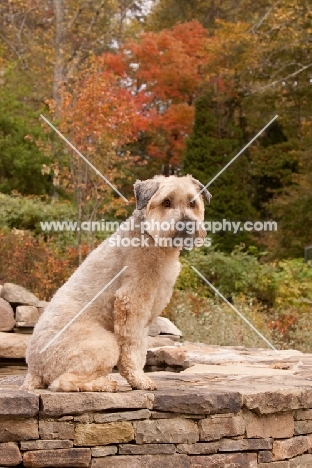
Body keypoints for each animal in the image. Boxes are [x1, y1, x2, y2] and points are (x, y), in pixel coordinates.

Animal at [22, 176, 211, 392]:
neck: (150, 239)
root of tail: (34, 368)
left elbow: (141, 347)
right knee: (62, 382)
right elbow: (132, 347)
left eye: (192, 203)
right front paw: (139, 379)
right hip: (103, 344)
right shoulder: (131, 302)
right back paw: (105, 384)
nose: (187, 225)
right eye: (166, 202)